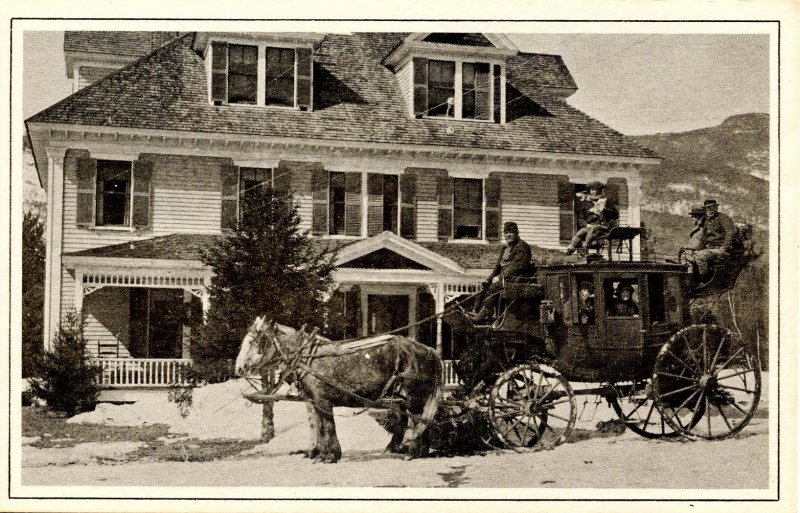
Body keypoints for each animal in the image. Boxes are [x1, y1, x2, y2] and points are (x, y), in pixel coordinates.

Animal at [234, 316, 444, 464]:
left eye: (254, 341)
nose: (239, 368)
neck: (307, 358)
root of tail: (429, 350)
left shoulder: (322, 401)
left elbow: (327, 426)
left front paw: (330, 455)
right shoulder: (314, 401)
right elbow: (319, 425)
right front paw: (320, 454)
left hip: (413, 395)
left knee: (418, 419)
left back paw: (414, 452)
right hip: (399, 395)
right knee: (411, 419)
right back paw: (412, 450)